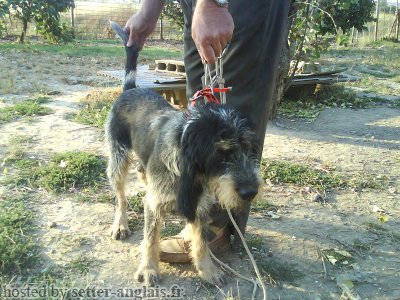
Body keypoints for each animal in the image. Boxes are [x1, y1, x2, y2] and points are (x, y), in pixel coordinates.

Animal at [106, 21, 262, 286]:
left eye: (250, 148)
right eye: (220, 153)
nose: (250, 192)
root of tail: (130, 89)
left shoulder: (201, 205)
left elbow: (201, 241)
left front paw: (207, 269)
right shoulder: (155, 204)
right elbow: (150, 239)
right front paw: (149, 268)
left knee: (141, 172)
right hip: (117, 159)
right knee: (121, 197)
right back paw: (121, 223)